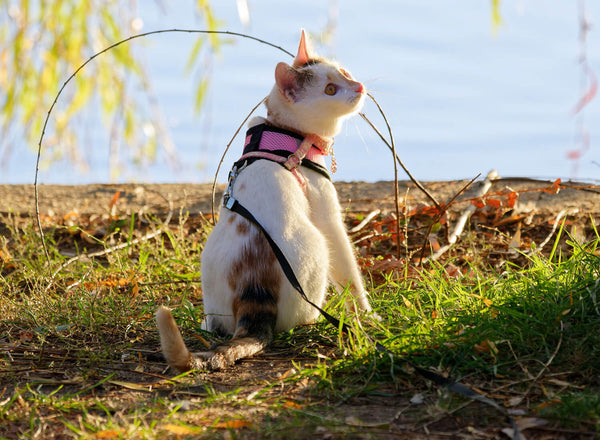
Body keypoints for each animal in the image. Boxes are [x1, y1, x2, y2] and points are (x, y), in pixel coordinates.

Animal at [158, 30, 376, 372]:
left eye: (344, 72)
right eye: (330, 90)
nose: (359, 87)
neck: (286, 133)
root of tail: (253, 291)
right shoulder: (328, 214)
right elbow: (351, 274)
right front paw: (367, 314)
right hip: (317, 247)